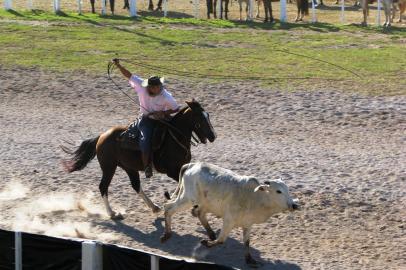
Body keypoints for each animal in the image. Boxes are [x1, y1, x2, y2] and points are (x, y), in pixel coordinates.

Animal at [61, 100, 216, 220]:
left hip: (129, 168)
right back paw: (112, 213)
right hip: (109, 167)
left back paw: (154, 207)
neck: (174, 138)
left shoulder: (182, 166)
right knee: (103, 187)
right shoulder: (170, 170)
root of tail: (102, 136)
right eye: (200, 118)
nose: (213, 136)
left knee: (135, 185)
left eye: (207, 115)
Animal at [160, 162, 300, 266]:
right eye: (278, 191)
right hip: (188, 199)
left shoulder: (248, 224)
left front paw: (250, 260)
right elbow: (221, 240)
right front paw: (206, 243)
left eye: (287, 189)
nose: (294, 205)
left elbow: (247, 242)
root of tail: (192, 164)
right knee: (168, 208)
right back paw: (166, 235)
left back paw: (210, 233)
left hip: (203, 203)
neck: (255, 197)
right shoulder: (228, 220)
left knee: (199, 213)